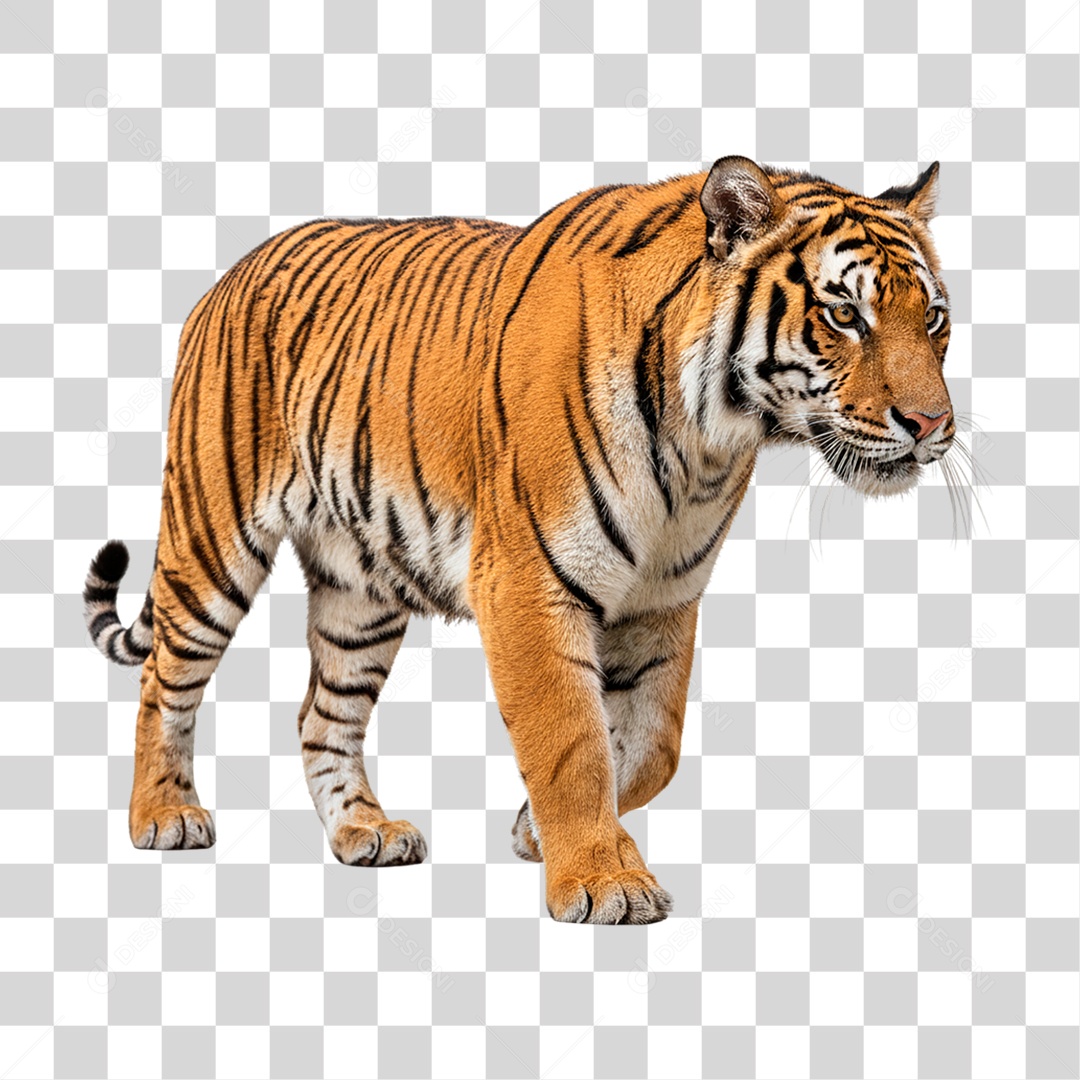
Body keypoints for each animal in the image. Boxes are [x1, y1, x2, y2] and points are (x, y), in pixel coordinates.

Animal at [84, 155, 954, 924]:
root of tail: (230, 272)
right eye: (845, 315)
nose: (932, 424)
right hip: (211, 542)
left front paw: (549, 835)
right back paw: (163, 815)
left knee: (321, 715)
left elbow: (651, 743)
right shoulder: (530, 584)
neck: (708, 443)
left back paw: (364, 830)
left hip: (359, 590)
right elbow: (571, 741)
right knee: (164, 680)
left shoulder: (663, 602)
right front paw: (603, 881)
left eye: (935, 318)